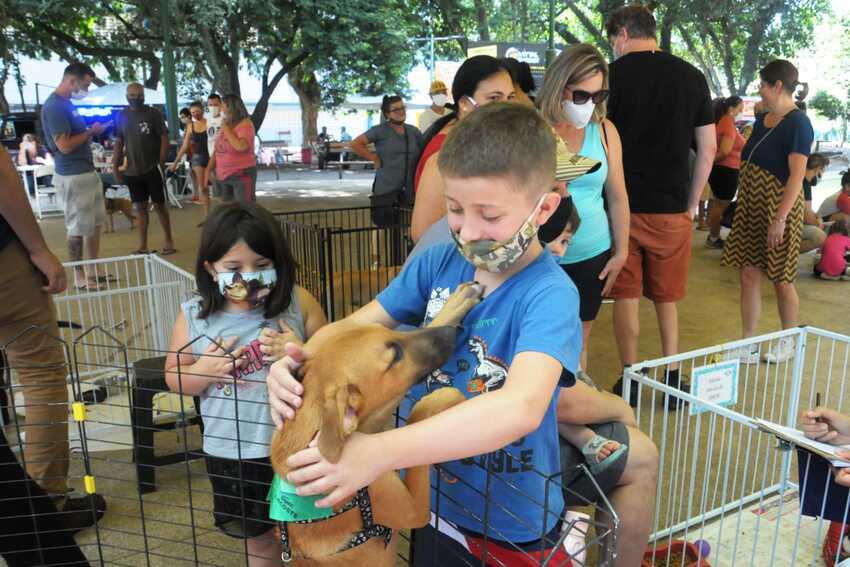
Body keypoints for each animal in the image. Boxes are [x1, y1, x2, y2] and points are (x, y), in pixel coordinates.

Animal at [272, 282, 484, 564]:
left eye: (389, 331)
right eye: (395, 356)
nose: (454, 332)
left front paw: (456, 304)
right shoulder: (413, 509)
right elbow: (418, 415)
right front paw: (444, 396)